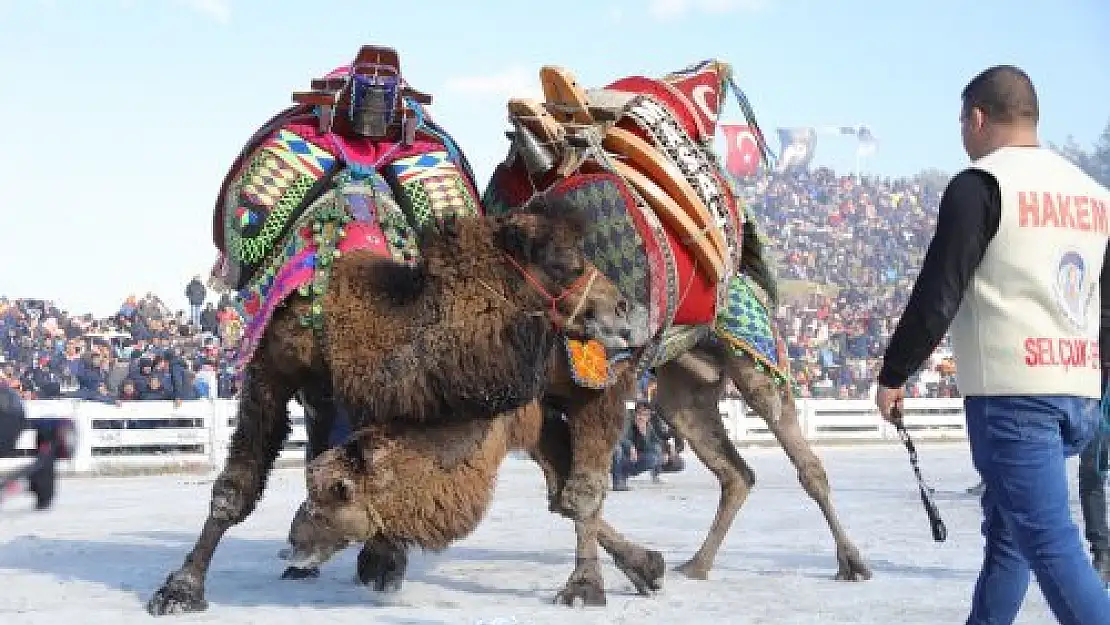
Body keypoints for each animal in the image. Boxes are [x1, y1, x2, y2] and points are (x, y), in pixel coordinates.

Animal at [143, 202, 639, 617]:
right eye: (565, 265)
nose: (621, 308)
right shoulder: (275, 372)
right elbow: (236, 487)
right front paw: (180, 589)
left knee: (570, 487)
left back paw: (607, 577)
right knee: (561, 486)